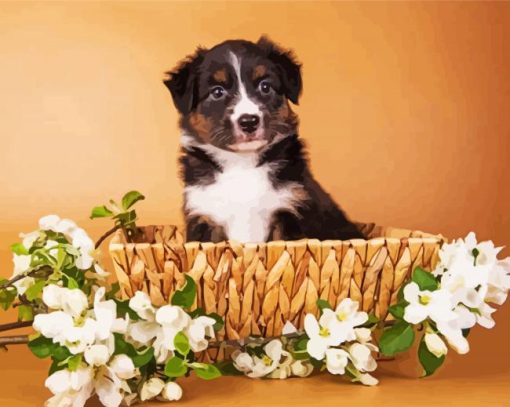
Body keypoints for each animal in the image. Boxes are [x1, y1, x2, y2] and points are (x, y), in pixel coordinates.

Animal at [163, 36, 362, 244]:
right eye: (217, 92)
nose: (249, 121)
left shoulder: (289, 210)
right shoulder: (203, 216)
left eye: (265, 86)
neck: (242, 164)